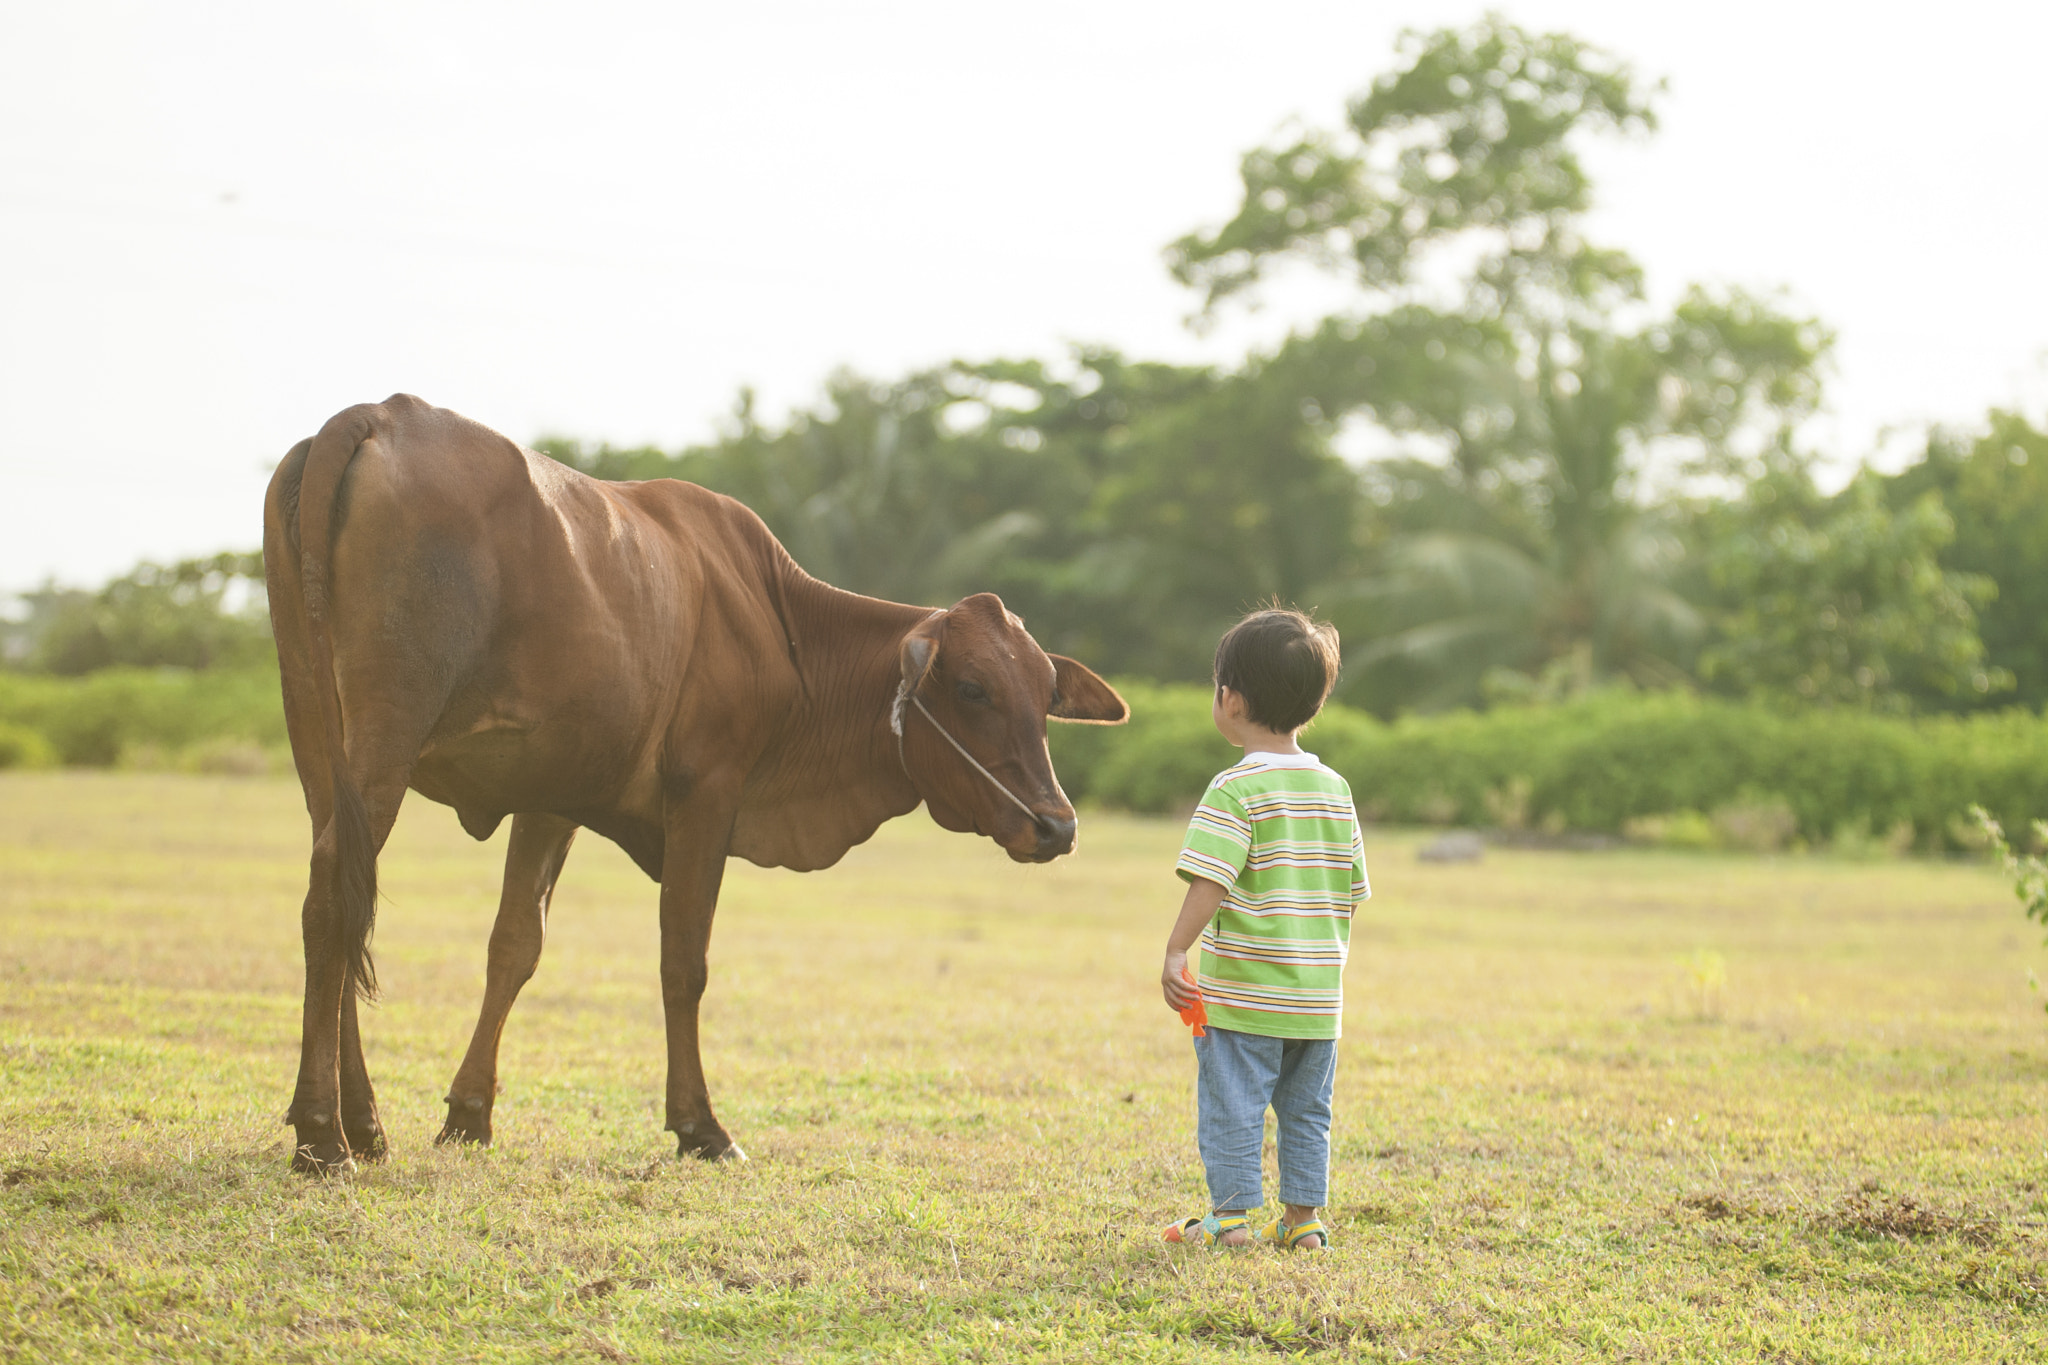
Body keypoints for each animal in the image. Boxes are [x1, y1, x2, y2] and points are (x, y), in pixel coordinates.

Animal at [264, 392, 1130, 1178]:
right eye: (974, 689)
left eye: (1046, 694)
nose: (1056, 825)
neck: (788, 631)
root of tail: (379, 413)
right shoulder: (708, 794)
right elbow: (685, 961)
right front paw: (700, 1126)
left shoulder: (550, 796)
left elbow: (514, 946)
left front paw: (469, 1114)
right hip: (385, 739)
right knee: (332, 901)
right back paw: (323, 1136)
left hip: (320, 748)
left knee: (343, 899)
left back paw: (363, 1124)